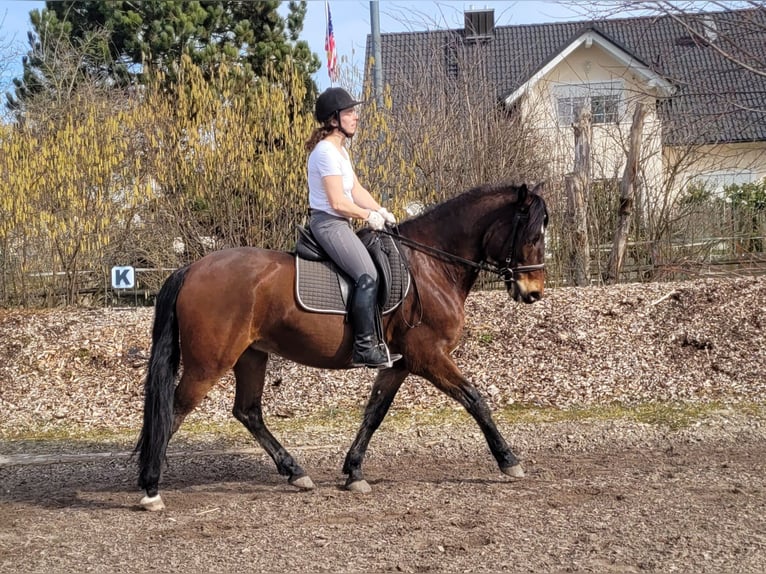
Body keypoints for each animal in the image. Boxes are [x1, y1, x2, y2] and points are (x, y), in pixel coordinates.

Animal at [135, 182, 548, 510]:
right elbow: (475, 399)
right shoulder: (428, 357)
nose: (533, 293)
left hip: (251, 355)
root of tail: (192, 269)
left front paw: (354, 471)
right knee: (173, 411)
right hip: (210, 362)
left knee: (248, 412)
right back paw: (151, 489)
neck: (431, 265)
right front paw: (509, 461)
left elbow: (374, 413)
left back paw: (295, 472)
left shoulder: (399, 363)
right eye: (533, 237)